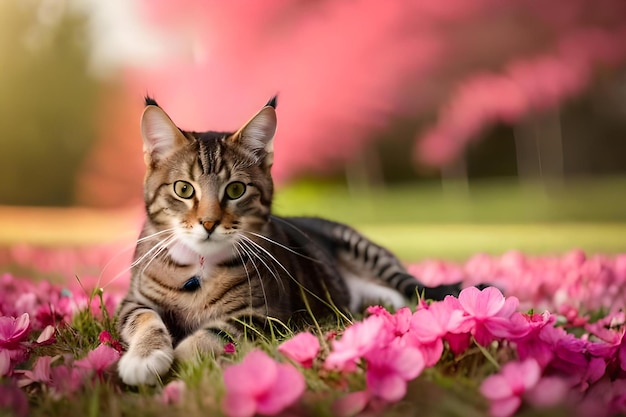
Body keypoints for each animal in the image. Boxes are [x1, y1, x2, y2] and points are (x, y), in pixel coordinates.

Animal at [116, 96, 458, 386]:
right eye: (184, 189)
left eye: (236, 190)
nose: (209, 223)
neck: (198, 272)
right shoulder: (133, 301)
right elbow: (145, 318)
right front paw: (144, 358)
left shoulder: (263, 314)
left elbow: (207, 338)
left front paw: (178, 371)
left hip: (368, 252)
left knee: (409, 288)